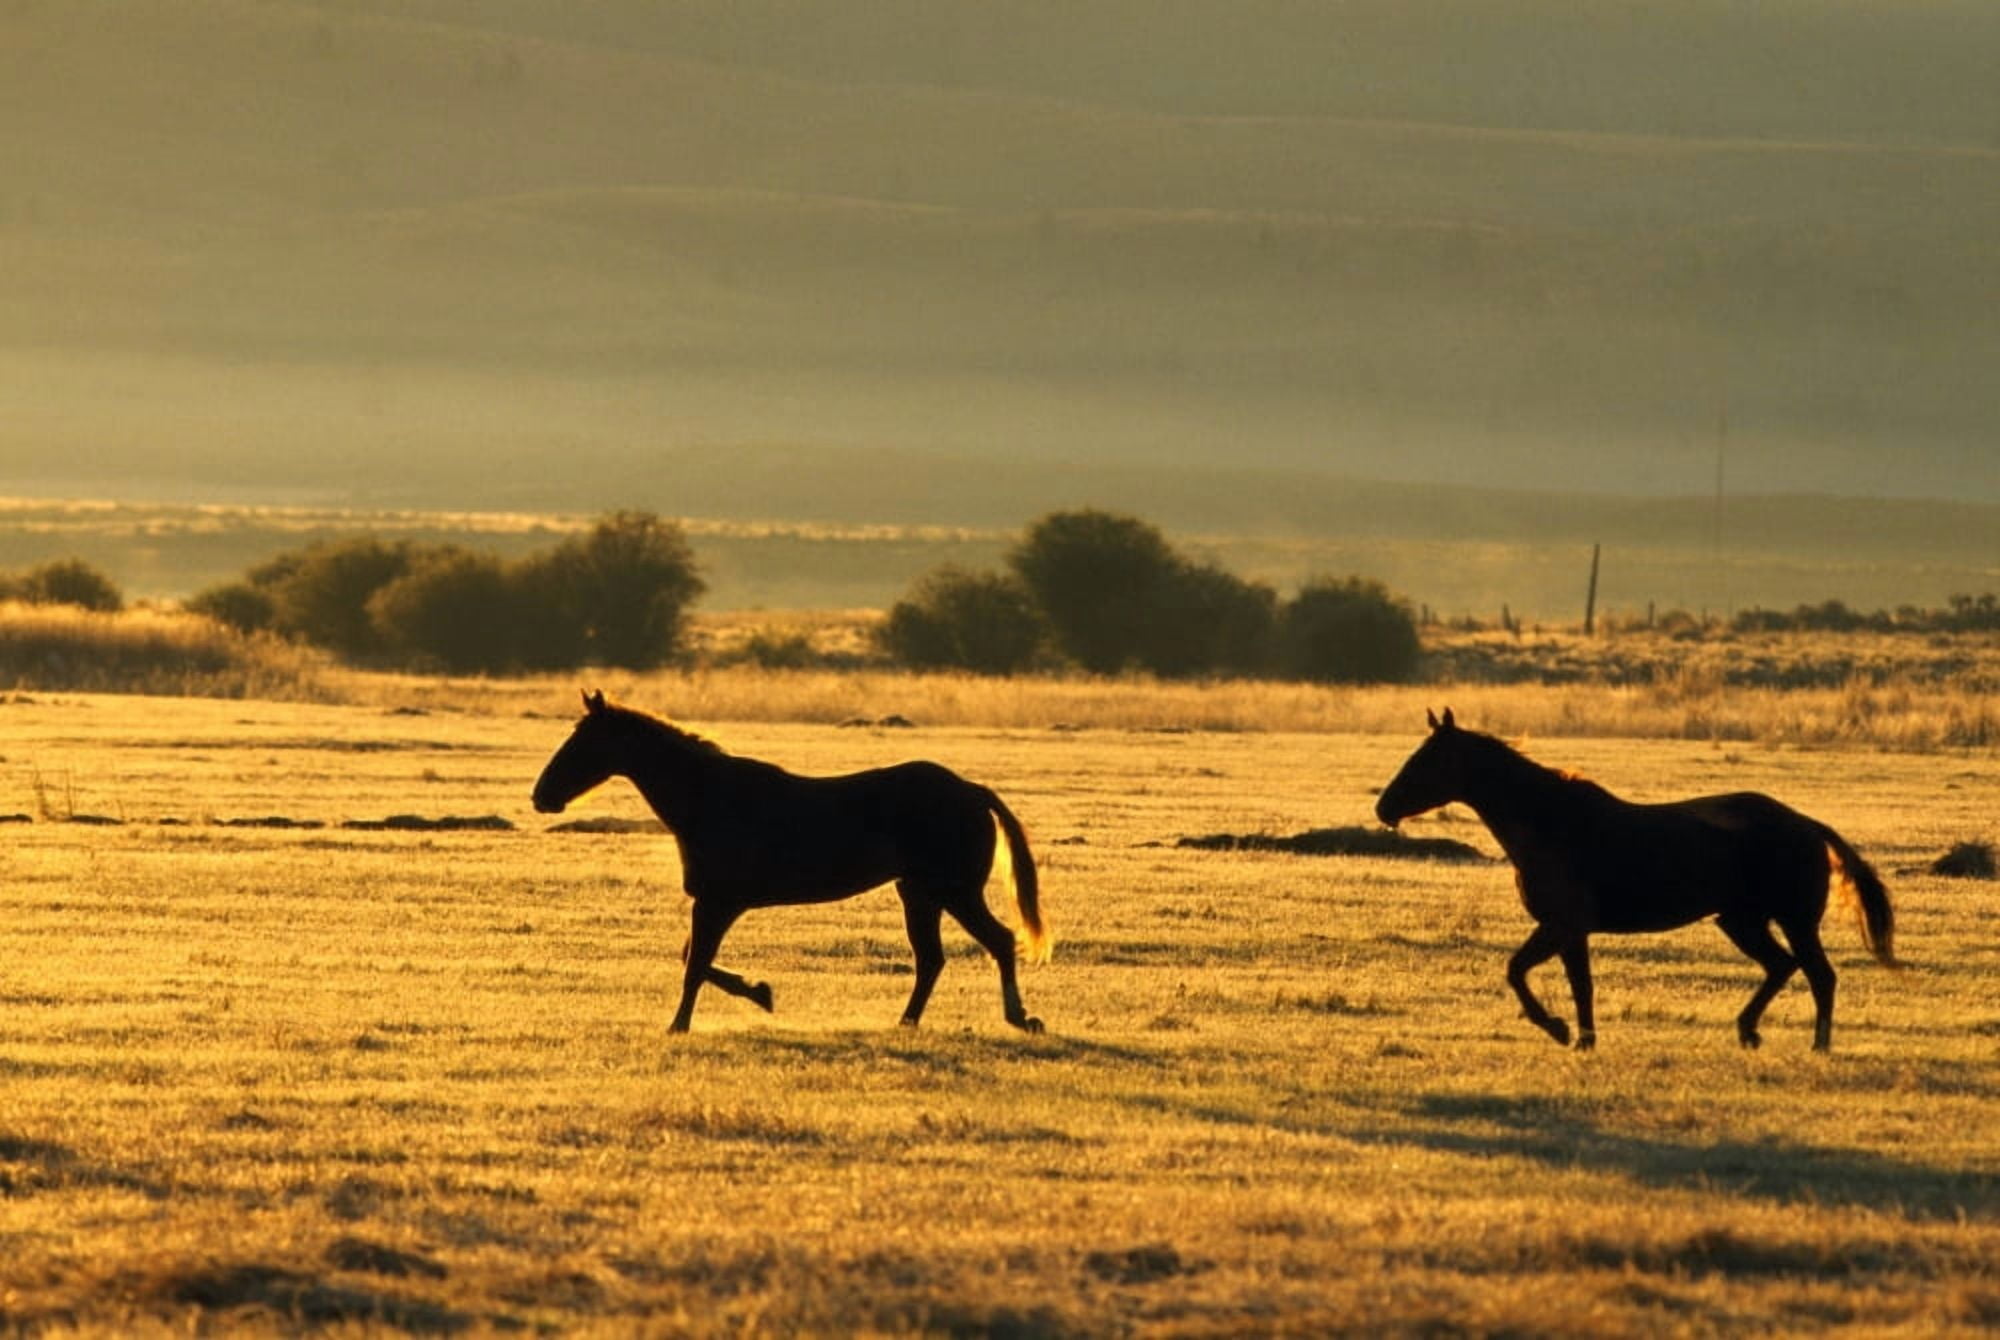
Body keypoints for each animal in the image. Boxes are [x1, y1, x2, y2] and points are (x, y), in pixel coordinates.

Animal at [532, 692, 1050, 1034]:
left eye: (583, 742)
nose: (541, 796)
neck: (710, 798)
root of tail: (971, 791)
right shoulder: (718, 903)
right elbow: (694, 959)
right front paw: (760, 991)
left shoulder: (718, 902)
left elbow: (695, 964)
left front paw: (679, 1025)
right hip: (920, 894)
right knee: (931, 960)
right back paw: (906, 1022)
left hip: (955, 892)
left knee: (999, 941)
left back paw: (1019, 1017)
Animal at [1374, 709, 1896, 1051]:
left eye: (1426, 761)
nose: (1384, 808)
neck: (1552, 823)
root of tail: (1807, 824)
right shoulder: (1569, 931)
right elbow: (1570, 983)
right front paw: (1581, 1039)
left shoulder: (1563, 925)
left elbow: (1521, 971)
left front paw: (1561, 1030)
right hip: (1741, 921)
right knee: (1782, 967)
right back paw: (1748, 1031)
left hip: (1794, 921)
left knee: (1819, 976)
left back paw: (1818, 1046)